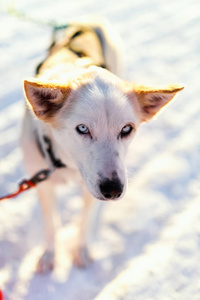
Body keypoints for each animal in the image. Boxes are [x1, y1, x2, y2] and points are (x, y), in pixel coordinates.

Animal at [21, 18, 184, 272]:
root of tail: (90, 19)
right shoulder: (43, 185)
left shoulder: (91, 191)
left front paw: (82, 249)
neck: (66, 164)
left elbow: (85, 220)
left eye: (126, 129)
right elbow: (51, 223)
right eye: (82, 129)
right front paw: (49, 253)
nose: (113, 189)